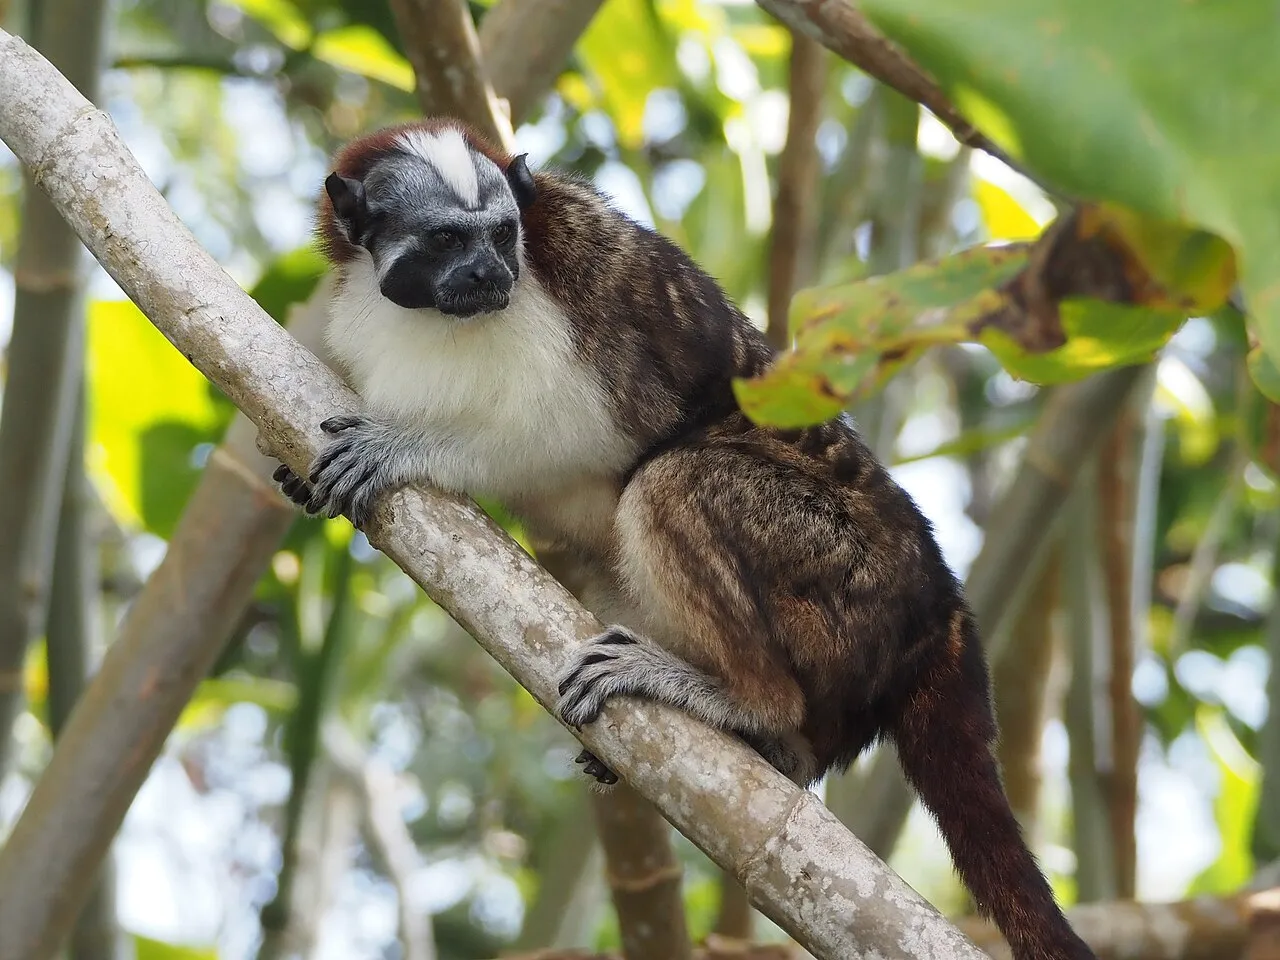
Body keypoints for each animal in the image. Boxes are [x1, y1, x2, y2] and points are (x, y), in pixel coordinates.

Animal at [273, 117, 1097, 960]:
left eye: (501, 235)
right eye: (445, 240)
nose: (489, 273)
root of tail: (940, 604)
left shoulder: (567, 297)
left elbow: (567, 435)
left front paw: (404, 446)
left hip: (849, 586)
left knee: (671, 480)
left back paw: (747, 703)